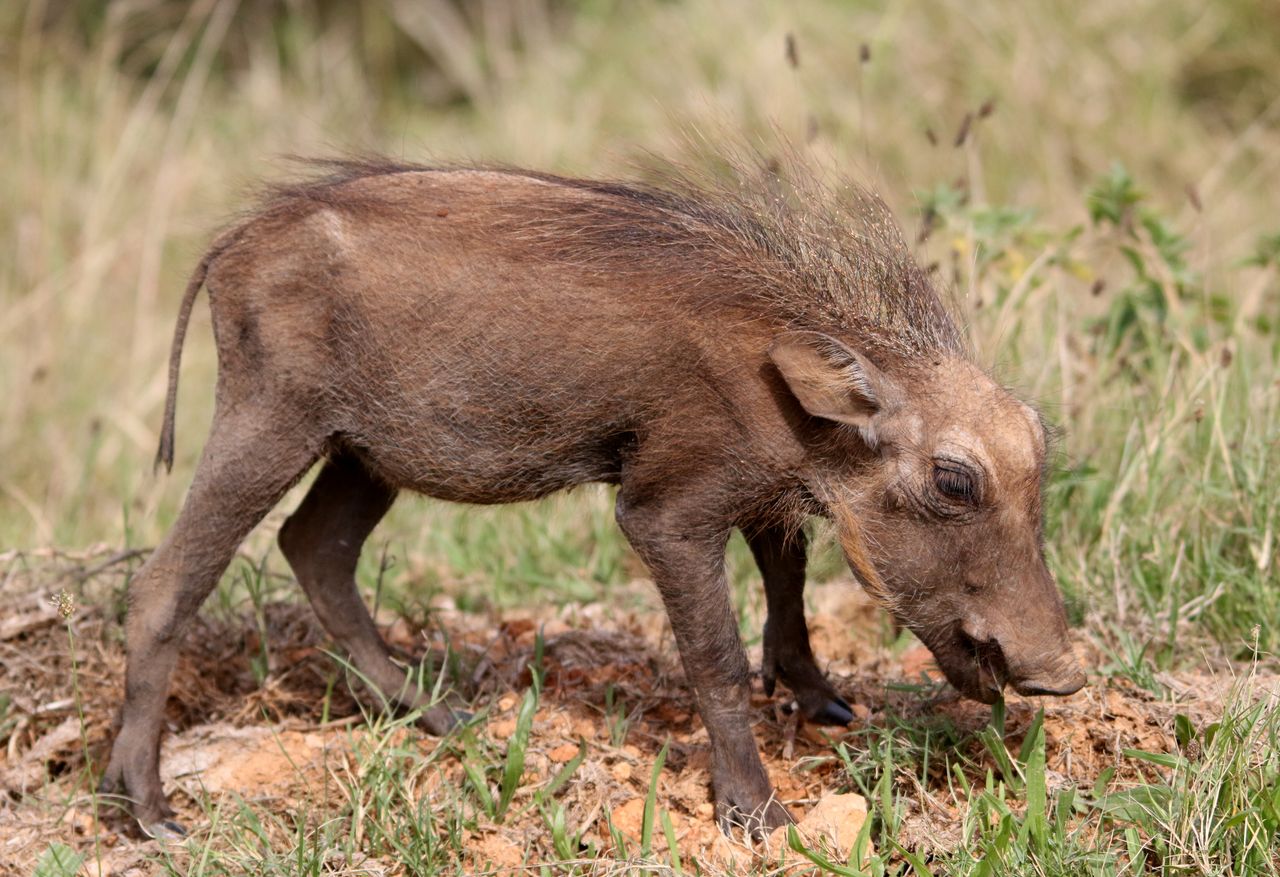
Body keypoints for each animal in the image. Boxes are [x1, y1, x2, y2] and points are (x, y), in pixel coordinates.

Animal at [101, 158, 1085, 840]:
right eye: (954, 479)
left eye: (1039, 441)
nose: (1064, 676)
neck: (790, 388)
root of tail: (238, 240)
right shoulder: (668, 509)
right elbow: (717, 659)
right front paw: (757, 815)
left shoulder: (763, 492)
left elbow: (790, 585)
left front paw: (827, 705)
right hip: (271, 417)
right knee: (167, 583)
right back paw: (147, 808)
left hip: (364, 451)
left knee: (316, 549)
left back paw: (446, 719)